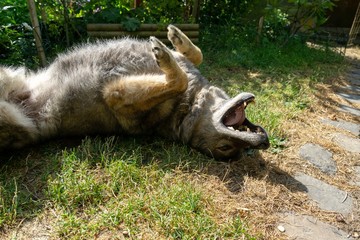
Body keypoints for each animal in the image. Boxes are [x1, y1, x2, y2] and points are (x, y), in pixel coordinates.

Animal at [0, 24, 268, 159]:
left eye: (225, 149)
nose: (263, 141)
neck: (187, 105)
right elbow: (196, 55)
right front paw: (177, 38)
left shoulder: (113, 95)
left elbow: (179, 79)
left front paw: (165, 56)